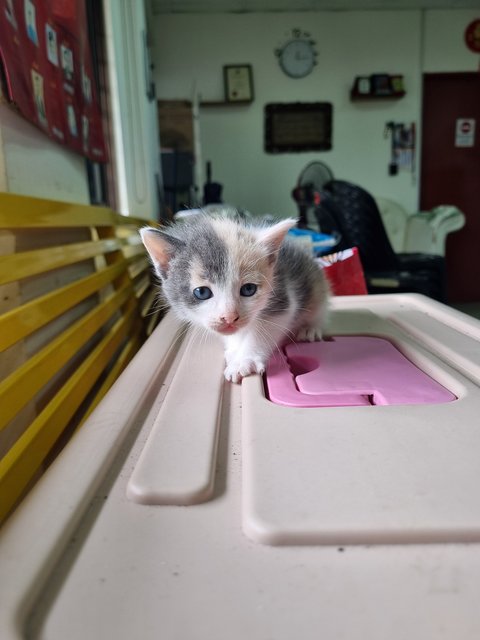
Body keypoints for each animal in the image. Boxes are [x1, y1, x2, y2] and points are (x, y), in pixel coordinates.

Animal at [140, 212, 330, 382]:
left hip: (317, 286)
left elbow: (262, 330)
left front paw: (244, 360)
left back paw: (311, 328)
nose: (229, 317)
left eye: (248, 289)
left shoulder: (283, 300)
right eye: (202, 292)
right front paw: (234, 349)